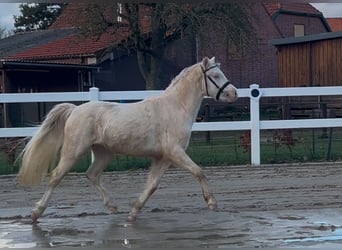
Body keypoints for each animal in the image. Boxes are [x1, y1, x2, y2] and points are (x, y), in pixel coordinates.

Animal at [18, 56, 238, 221]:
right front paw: (212, 202)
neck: (175, 108)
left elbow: (152, 185)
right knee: (56, 176)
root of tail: (74, 110)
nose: (233, 93)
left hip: (104, 153)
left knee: (92, 174)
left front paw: (133, 211)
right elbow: (198, 171)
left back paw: (113, 207)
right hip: (73, 152)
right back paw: (36, 212)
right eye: (215, 75)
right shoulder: (175, 152)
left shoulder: (164, 157)